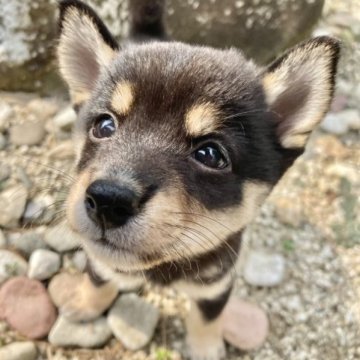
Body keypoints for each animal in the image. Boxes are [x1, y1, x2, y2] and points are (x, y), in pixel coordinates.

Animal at [57, 1, 340, 358]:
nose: (108, 200)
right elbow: (97, 279)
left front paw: (206, 349)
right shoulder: (100, 260)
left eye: (210, 155)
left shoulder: (217, 285)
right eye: (104, 125)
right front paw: (85, 305)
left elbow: (207, 319)